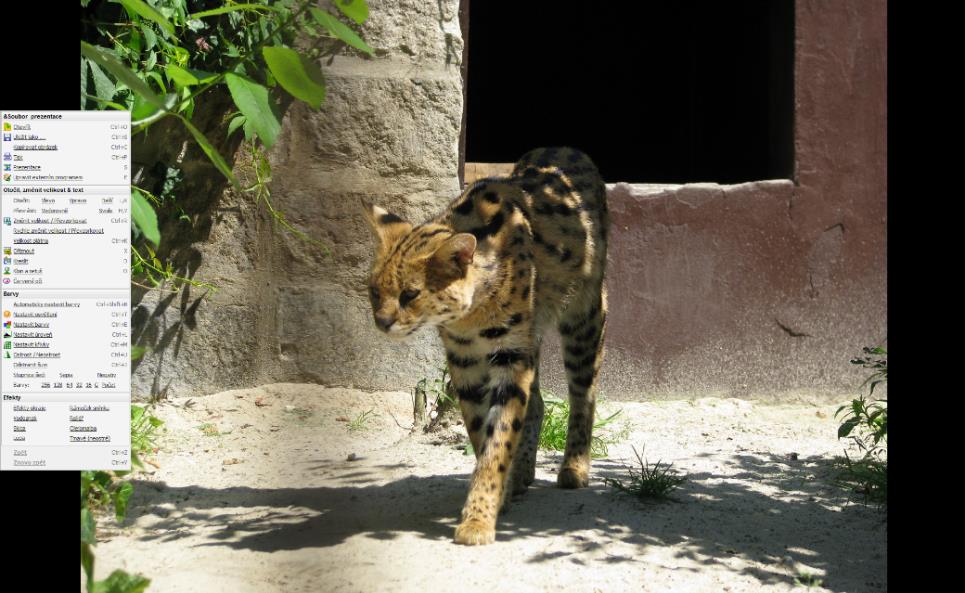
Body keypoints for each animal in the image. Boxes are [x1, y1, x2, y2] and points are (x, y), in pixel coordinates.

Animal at [366, 146, 608, 544]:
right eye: (373, 291)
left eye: (410, 294)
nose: (382, 322)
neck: (470, 317)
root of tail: (564, 148)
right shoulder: (465, 361)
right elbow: (483, 434)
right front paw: (499, 496)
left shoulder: (510, 358)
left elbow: (499, 439)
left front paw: (479, 518)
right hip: (534, 334)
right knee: (538, 403)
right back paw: (523, 473)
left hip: (584, 315)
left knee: (583, 394)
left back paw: (574, 466)